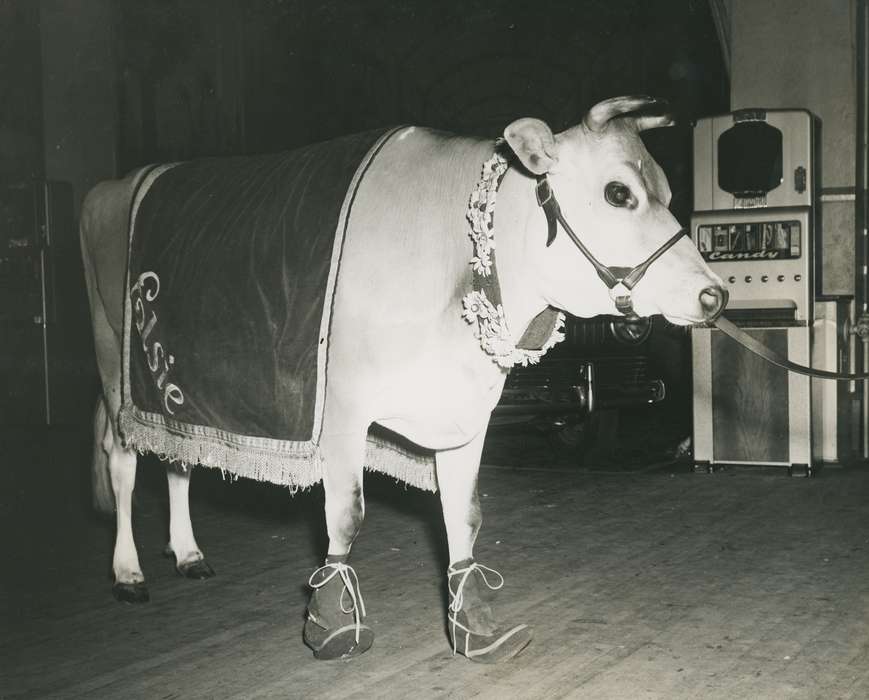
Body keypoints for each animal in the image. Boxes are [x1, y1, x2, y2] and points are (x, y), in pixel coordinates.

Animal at [80, 96, 727, 664]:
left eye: (669, 192)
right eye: (618, 193)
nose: (714, 294)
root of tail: (112, 185)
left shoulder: (468, 409)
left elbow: (464, 514)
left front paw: (473, 629)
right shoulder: (341, 409)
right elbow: (346, 514)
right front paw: (333, 627)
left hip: (177, 392)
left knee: (177, 456)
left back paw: (188, 552)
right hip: (115, 357)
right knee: (123, 458)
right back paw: (128, 572)